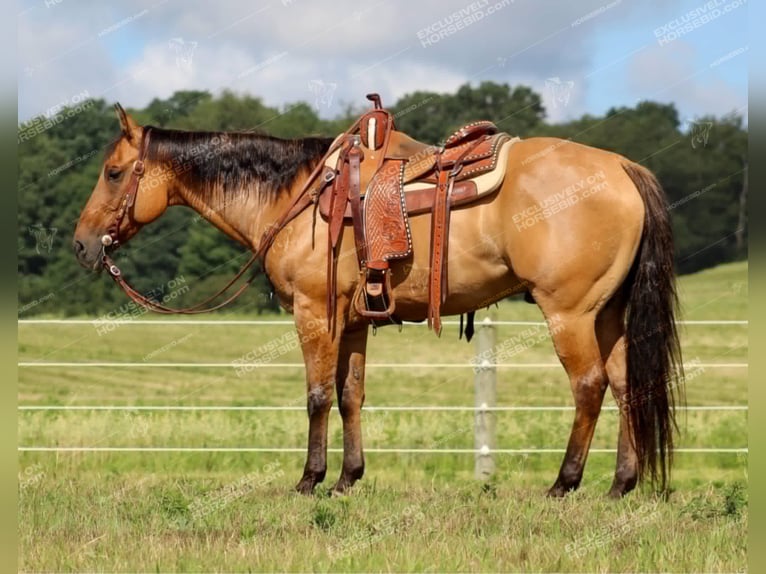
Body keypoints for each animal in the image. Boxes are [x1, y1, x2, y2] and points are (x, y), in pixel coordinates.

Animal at [72, 103, 684, 500]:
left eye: (114, 172)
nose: (81, 244)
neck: (296, 196)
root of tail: (622, 168)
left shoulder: (314, 312)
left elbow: (318, 395)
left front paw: (310, 480)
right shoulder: (353, 319)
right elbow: (350, 396)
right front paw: (348, 478)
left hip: (569, 313)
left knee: (590, 386)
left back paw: (564, 483)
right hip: (607, 314)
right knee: (627, 384)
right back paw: (620, 485)